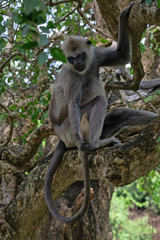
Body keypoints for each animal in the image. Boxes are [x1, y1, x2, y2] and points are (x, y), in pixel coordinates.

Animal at [43, 1, 158, 224]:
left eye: (80, 56)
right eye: (72, 58)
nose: (78, 63)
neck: (82, 68)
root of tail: (60, 137)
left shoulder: (95, 54)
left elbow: (122, 55)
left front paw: (123, 15)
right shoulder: (71, 75)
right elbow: (73, 104)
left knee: (120, 114)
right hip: (71, 129)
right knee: (98, 102)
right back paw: (94, 144)